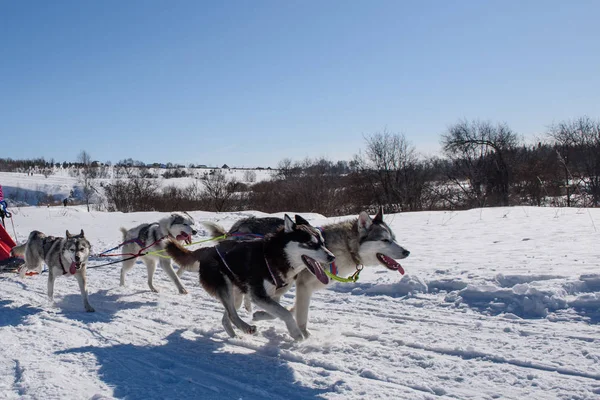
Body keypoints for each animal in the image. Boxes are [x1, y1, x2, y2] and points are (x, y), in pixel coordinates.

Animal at [165, 214, 332, 340]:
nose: (332, 257)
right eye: (310, 243)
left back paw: (235, 335)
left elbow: (278, 313)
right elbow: (284, 313)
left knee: (227, 317)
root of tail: (208, 249)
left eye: (323, 243)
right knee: (232, 315)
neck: (275, 256)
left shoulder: (272, 296)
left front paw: (258, 315)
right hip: (224, 287)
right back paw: (246, 327)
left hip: (236, 294)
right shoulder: (258, 295)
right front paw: (296, 333)